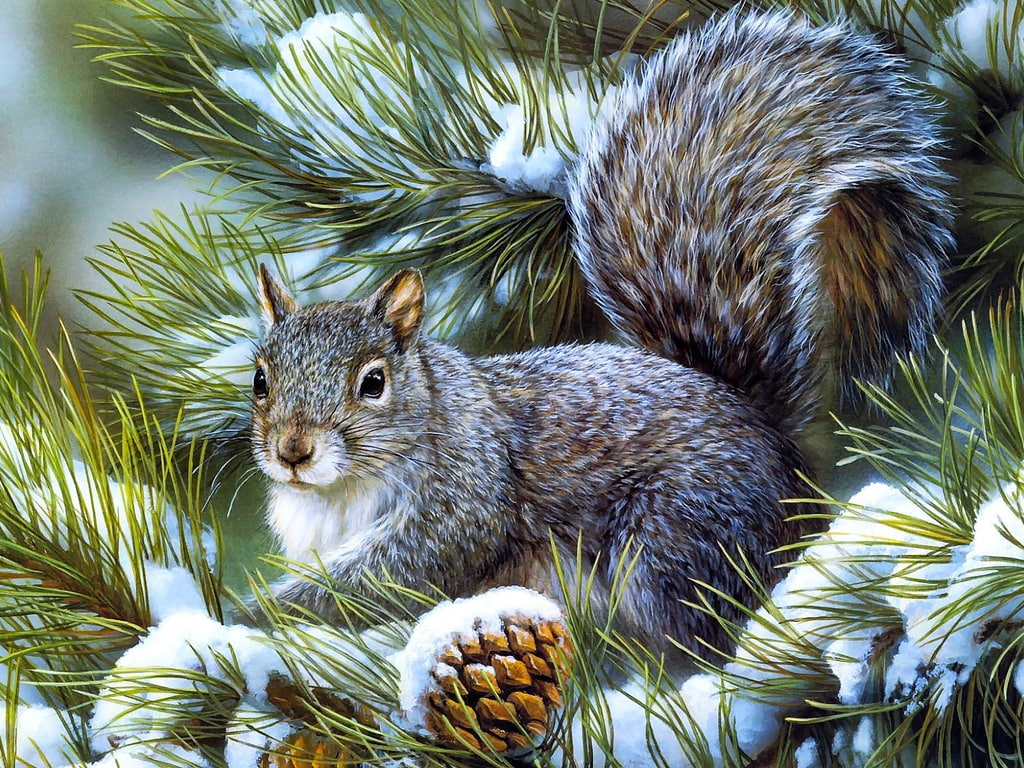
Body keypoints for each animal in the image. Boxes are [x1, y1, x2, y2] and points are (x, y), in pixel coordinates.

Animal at [249, 10, 953, 662]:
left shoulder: (464, 496)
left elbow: (394, 574)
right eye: (259, 379)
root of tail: (779, 452)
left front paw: (267, 611)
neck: (338, 492)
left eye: (373, 383)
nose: (293, 451)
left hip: (676, 539)